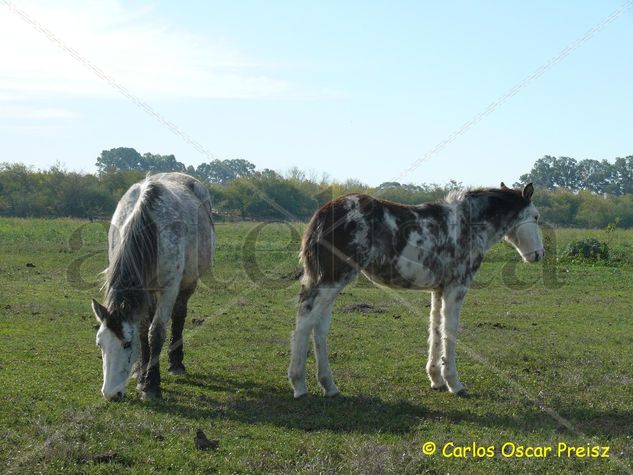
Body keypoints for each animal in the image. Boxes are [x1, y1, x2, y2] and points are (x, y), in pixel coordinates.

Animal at [91, 173, 215, 400]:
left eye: (126, 344)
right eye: (100, 343)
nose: (110, 394)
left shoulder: (169, 289)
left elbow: (155, 332)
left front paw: (151, 385)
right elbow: (142, 331)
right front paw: (142, 377)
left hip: (187, 284)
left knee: (179, 315)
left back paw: (176, 364)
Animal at [290, 182, 544, 398]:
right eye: (536, 217)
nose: (538, 254)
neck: (466, 224)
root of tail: (323, 213)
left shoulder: (439, 290)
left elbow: (435, 327)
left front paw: (436, 379)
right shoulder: (456, 288)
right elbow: (450, 331)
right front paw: (454, 383)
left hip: (330, 282)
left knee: (319, 327)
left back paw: (329, 385)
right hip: (333, 279)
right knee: (305, 322)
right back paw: (299, 384)